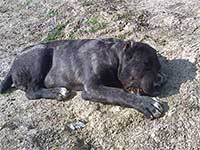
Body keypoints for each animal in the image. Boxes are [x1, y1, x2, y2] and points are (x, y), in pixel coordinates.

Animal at [0, 38, 166, 119]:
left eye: (159, 67)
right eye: (146, 64)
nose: (158, 82)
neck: (113, 55)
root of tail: (13, 63)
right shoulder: (93, 88)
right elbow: (120, 94)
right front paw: (148, 104)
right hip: (40, 53)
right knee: (31, 92)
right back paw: (58, 92)